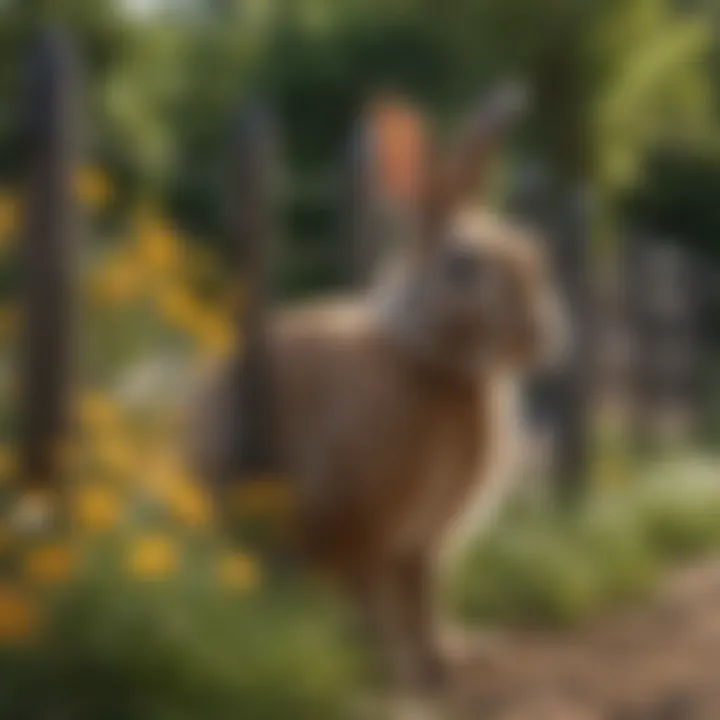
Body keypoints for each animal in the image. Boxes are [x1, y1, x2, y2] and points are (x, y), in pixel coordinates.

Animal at [187, 84, 568, 692]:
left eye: (531, 249)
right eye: (463, 264)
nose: (542, 334)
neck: (436, 366)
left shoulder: (425, 543)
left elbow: (426, 599)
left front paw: (453, 658)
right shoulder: (363, 526)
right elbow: (378, 599)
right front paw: (400, 672)